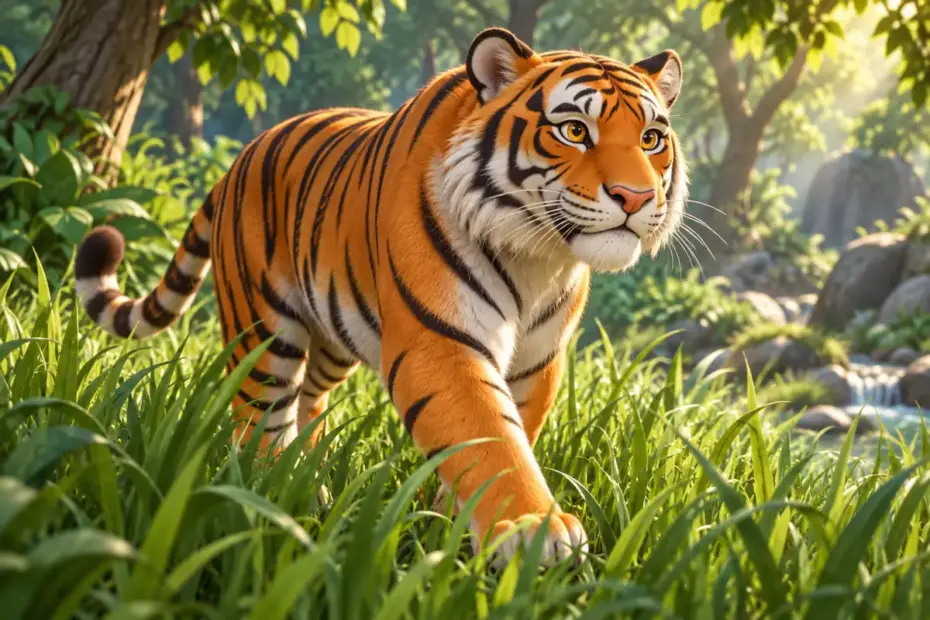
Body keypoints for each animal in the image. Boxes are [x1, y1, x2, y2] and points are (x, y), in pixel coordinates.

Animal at [75, 27, 687, 565]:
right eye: (575, 131)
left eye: (651, 139)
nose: (636, 197)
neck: (539, 255)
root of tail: (236, 162)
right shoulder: (440, 342)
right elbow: (490, 436)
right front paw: (535, 531)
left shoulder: (539, 361)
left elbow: (505, 434)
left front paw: (455, 529)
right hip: (262, 331)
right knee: (260, 417)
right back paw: (272, 496)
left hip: (334, 335)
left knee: (308, 400)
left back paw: (311, 483)